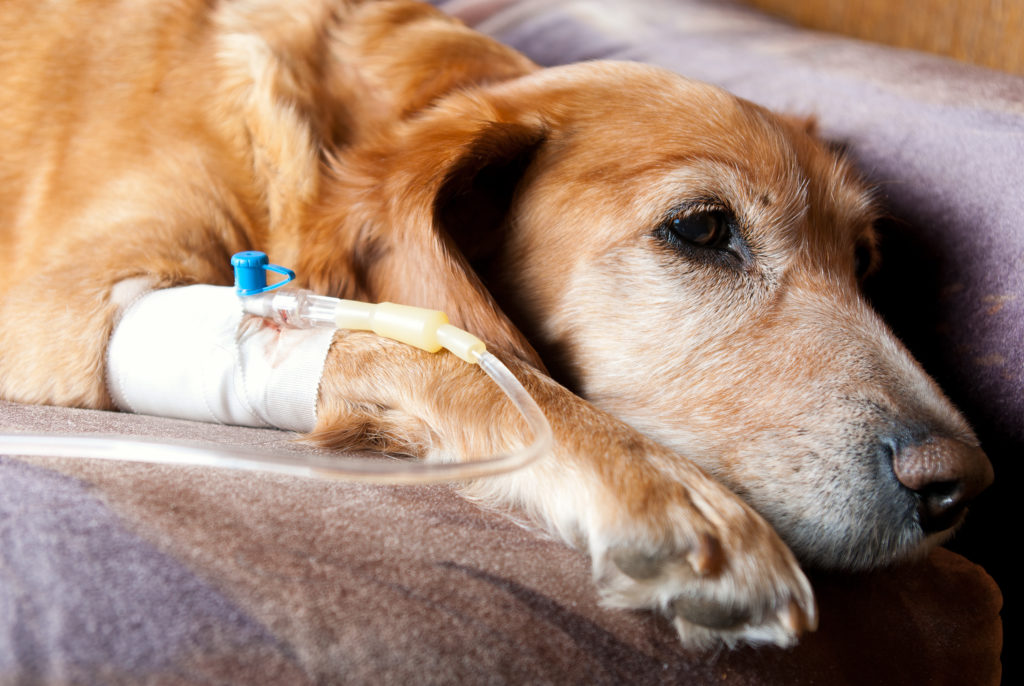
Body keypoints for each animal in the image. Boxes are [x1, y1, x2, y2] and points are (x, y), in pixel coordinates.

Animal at [0, 0, 991, 651]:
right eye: (703, 229)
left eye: (862, 263)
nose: (960, 489)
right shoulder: (65, 308)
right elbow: (452, 358)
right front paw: (667, 493)